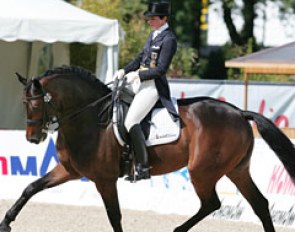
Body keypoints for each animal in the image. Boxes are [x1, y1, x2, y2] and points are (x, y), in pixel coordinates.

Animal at [0, 65, 295, 232]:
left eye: (36, 104)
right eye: (24, 103)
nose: (32, 138)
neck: (89, 119)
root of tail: (239, 112)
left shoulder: (104, 180)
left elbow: (114, 216)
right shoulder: (68, 170)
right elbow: (30, 188)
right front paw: (6, 222)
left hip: (202, 171)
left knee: (212, 202)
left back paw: (176, 230)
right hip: (237, 170)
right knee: (259, 204)